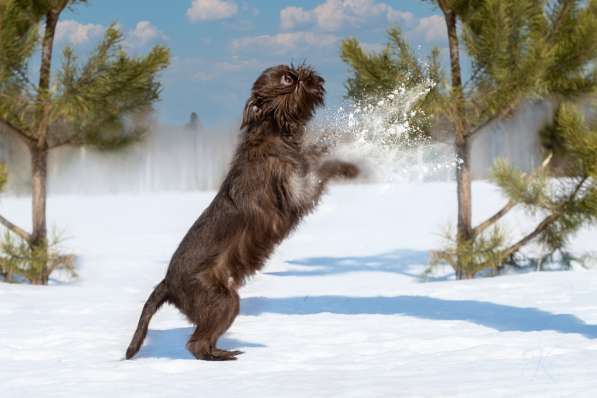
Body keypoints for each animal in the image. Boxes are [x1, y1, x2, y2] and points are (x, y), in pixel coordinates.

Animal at [124, 63, 358, 360]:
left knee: (204, 341)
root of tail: (167, 283)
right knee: (196, 344)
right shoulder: (296, 192)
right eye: (287, 79)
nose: (308, 73)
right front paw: (349, 165)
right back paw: (222, 357)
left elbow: (316, 154)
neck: (273, 133)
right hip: (225, 300)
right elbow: (323, 167)